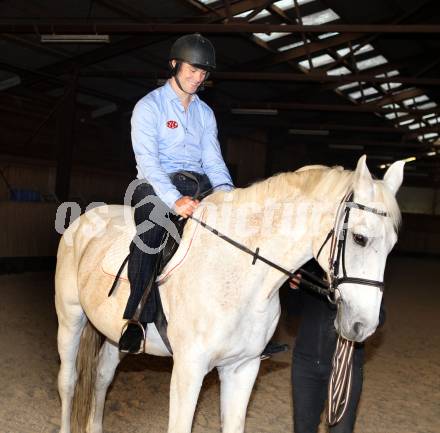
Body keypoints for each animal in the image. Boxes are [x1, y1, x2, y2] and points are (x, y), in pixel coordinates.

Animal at [54, 156, 402, 432]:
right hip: (70, 320)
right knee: (69, 381)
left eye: (392, 246)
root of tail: (84, 219)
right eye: (359, 238)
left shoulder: (242, 368)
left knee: (102, 376)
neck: (238, 273)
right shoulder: (188, 370)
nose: (363, 326)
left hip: (117, 335)